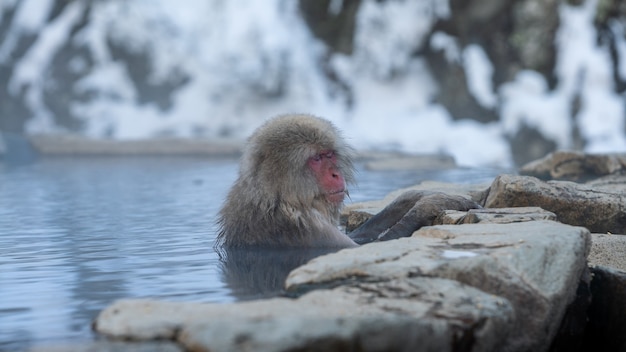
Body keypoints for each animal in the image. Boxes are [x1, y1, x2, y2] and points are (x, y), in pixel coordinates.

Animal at [214, 113, 478, 248]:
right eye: (316, 158)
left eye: (330, 154)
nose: (335, 174)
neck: (278, 200)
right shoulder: (308, 229)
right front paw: (429, 205)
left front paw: (417, 196)